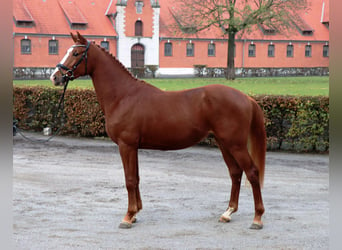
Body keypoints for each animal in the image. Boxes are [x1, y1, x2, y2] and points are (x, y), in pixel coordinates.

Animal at [49, 31, 266, 230]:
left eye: (76, 53)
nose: (55, 77)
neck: (123, 96)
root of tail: (246, 98)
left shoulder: (126, 145)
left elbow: (129, 180)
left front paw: (128, 216)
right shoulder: (133, 147)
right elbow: (136, 178)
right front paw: (135, 213)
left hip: (235, 144)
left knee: (252, 172)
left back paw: (257, 218)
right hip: (224, 143)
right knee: (235, 173)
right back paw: (227, 213)